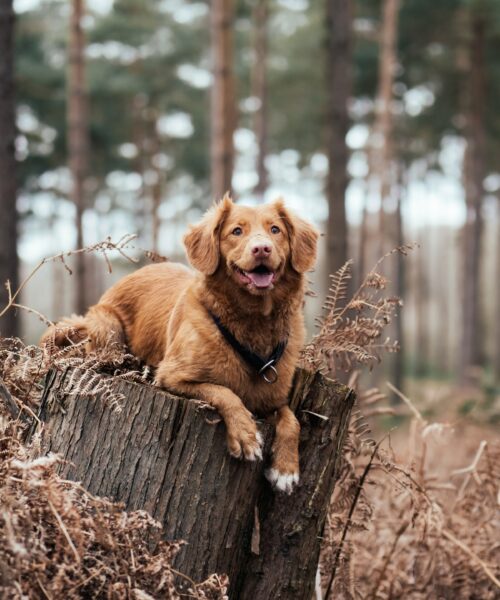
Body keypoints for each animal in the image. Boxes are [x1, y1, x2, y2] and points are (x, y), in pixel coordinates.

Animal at [41, 196, 318, 492]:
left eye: (275, 230)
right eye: (236, 231)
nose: (262, 249)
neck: (253, 323)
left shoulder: (273, 398)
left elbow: (292, 420)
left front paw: (286, 469)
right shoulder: (172, 376)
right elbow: (224, 392)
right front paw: (245, 434)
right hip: (108, 329)